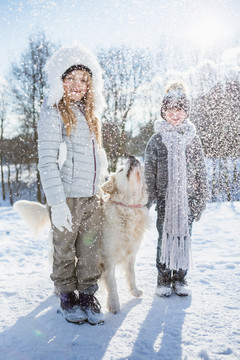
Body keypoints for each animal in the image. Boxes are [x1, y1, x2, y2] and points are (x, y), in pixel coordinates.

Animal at [13, 156, 149, 314]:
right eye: (121, 169)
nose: (132, 157)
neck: (128, 209)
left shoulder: (131, 255)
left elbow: (132, 275)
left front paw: (135, 291)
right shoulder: (108, 260)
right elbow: (113, 285)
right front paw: (114, 305)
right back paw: (60, 291)